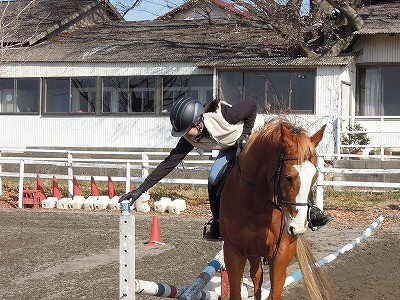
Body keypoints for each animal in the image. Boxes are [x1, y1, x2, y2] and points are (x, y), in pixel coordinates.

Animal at [219, 119, 332, 300]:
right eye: (288, 177)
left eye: (315, 177)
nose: (297, 228)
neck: (256, 207)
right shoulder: (233, 251)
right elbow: (236, 292)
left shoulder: (281, 255)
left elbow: (274, 294)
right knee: (256, 276)